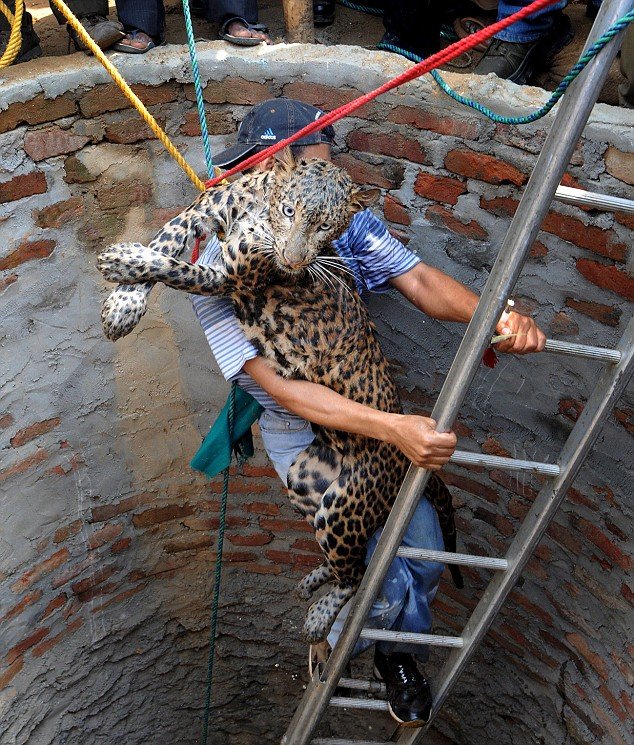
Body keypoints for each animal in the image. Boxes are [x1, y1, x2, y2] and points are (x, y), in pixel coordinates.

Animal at [97, 148, 460, 644]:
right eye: (290, 211)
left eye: (327, 227)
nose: (292, 258)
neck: (257, 208)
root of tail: (404, 462)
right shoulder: (201, 214)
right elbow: (166, 240)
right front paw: (123, 303)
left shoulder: (231, 275)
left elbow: (179, 268)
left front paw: (124, 259)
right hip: (305, 478)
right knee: (348, 557)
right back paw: (312, 582)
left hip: (343, 506)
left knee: (357, 573)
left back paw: (319, 616)